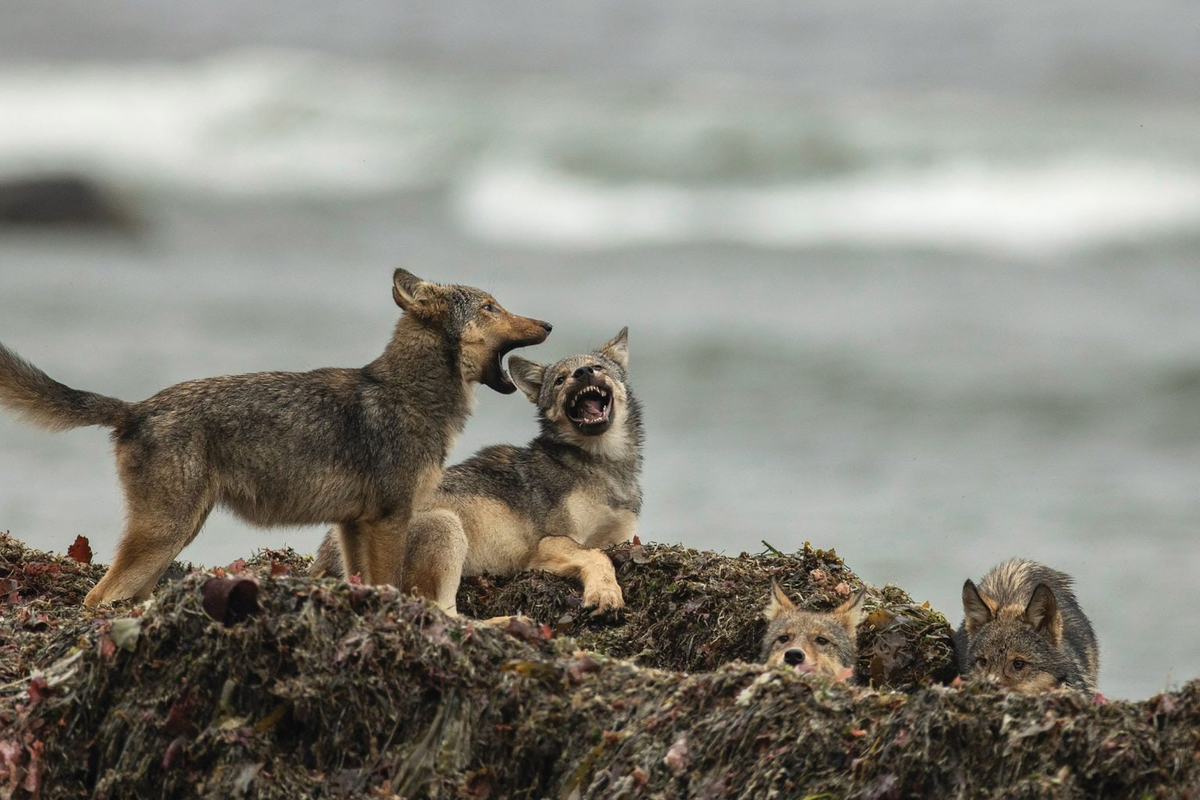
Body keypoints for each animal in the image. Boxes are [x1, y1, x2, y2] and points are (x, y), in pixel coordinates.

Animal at [0, 271, 549, 606]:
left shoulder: (354, 526)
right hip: (165, 535)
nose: (547, 323)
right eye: (490, 306)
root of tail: (134, 408)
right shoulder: (390, 520)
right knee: (97, 599)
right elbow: (392, 585)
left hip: (178, 537)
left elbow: (368, 585)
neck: (409, 395)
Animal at [314, 328, 643, 618]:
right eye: (561, 379)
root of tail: (322, 560)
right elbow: (598, 556)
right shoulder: (549, 544)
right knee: (445, 612)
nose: (583, 373)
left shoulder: (621, 537)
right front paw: (605, 594)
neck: (602, 464)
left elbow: (605, 549)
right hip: (446, 526)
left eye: (598, 367)